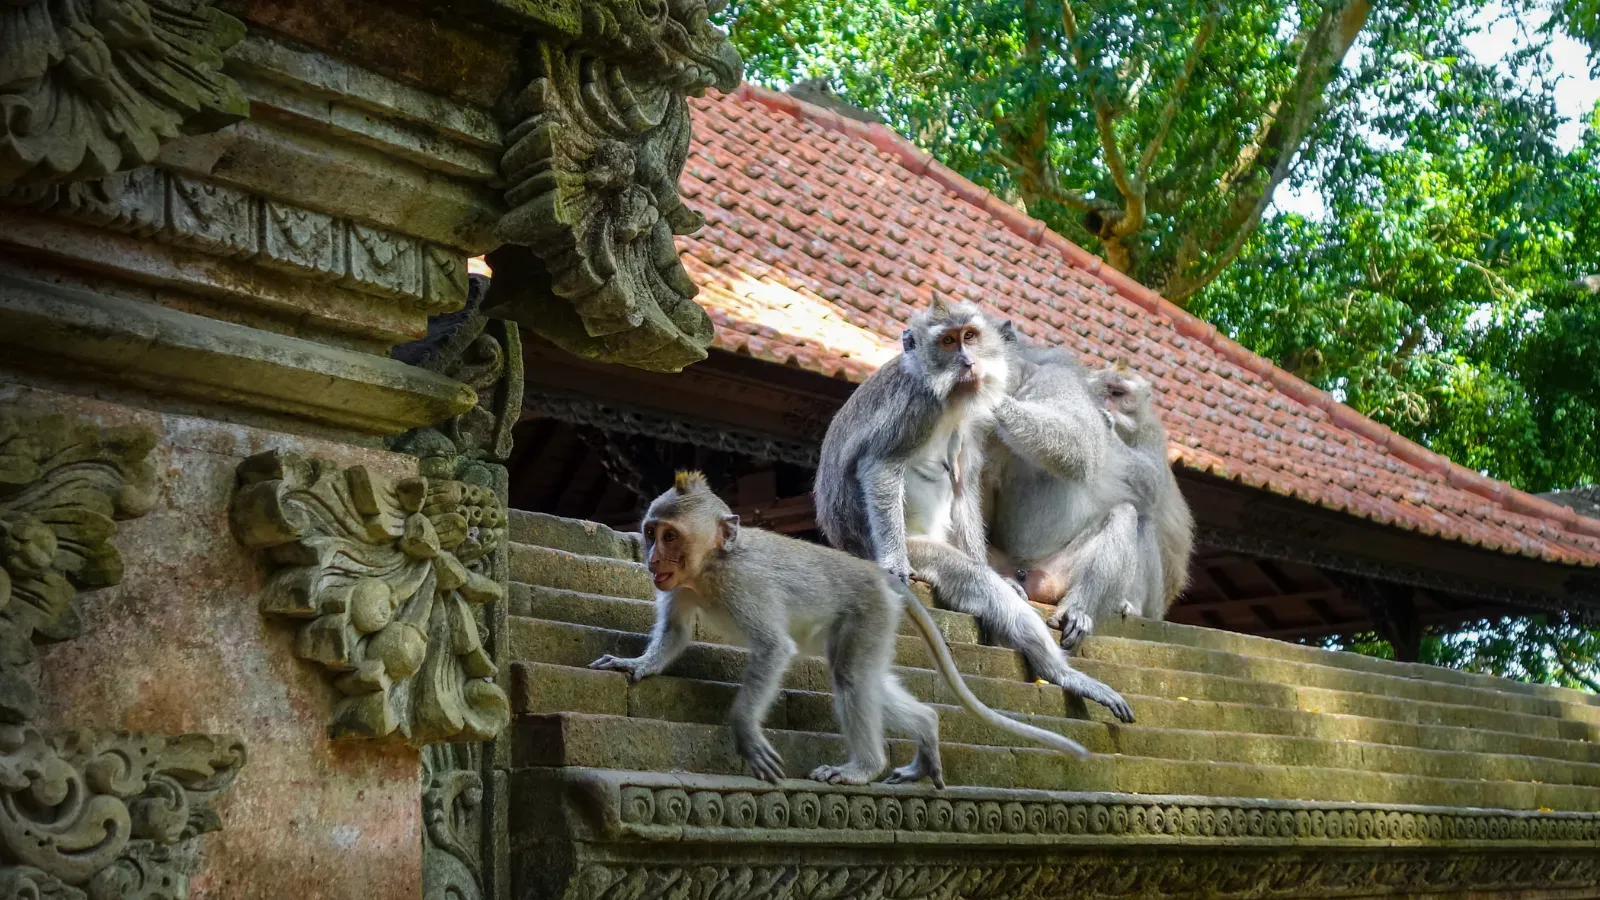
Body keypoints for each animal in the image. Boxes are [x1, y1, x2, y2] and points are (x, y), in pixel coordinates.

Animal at [589, 472, 1095, 787]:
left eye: (670, 536)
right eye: (651, 532)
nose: (652, 558)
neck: (709, 568)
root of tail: (881, 575)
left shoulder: (742, 585)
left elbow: (773, 649)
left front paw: (746, 731)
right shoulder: (678, 588)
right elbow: (675, 635)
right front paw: (635, 664)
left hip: (869, 612)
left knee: (851, 677)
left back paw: (863, 768)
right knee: (862, 677)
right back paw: (926, 731)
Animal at [814, 298, 1135, 724]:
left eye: (969, 336)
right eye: (948, 342)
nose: (968, 363)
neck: (950, 400)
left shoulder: (971, 422)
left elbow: (964, 487)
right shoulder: (918, 406)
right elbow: (881, 466)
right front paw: (894, 565)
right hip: (913, 545)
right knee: (971, 578)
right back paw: (1057, 669)